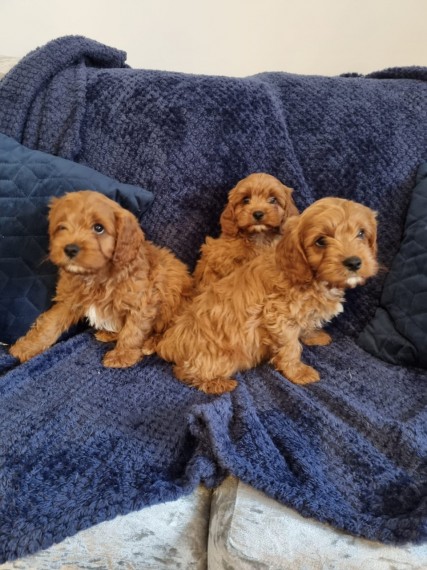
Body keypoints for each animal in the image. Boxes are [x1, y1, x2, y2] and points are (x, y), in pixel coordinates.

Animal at [9, 191, 193, 366]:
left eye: (99, 228)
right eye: (62, 227)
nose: (70, 249)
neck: (96, 276)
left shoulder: (141, 303)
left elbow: (133, 331)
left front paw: (122, 356)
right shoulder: (68, 300)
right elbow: (49, 324)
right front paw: (26, 348)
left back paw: (150, 343)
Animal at [157, 195, 378, 390]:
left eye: (361, 233)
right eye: (321, 241)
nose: (354, 262)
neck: (309, 276)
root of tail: (169, 342)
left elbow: (306, 324)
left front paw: (313, 335)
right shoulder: (278, 315)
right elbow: (291, 348)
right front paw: (299, 373)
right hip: (217, 358)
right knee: (185, 372)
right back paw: (217, 384)